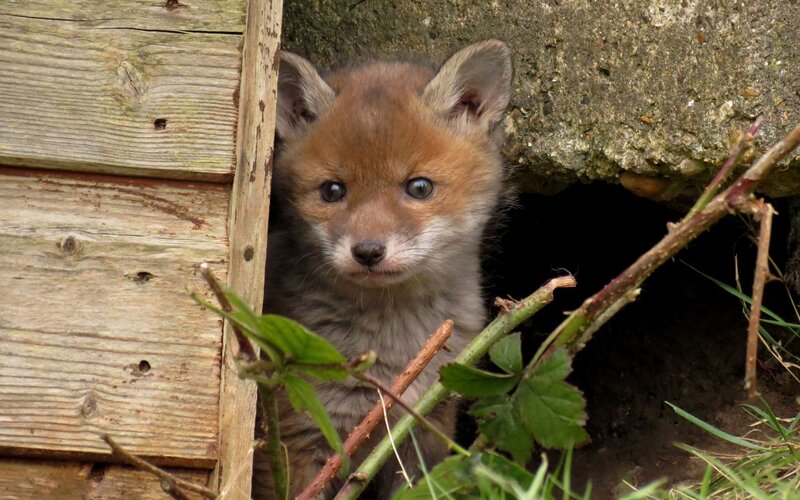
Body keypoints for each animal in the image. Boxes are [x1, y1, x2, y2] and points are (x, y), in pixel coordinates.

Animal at [256, 40, 513, 498]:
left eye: (419, 187)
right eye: (332, 190)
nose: (368, 251)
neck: (392, 349)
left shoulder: (423, 429)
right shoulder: (297, 436)